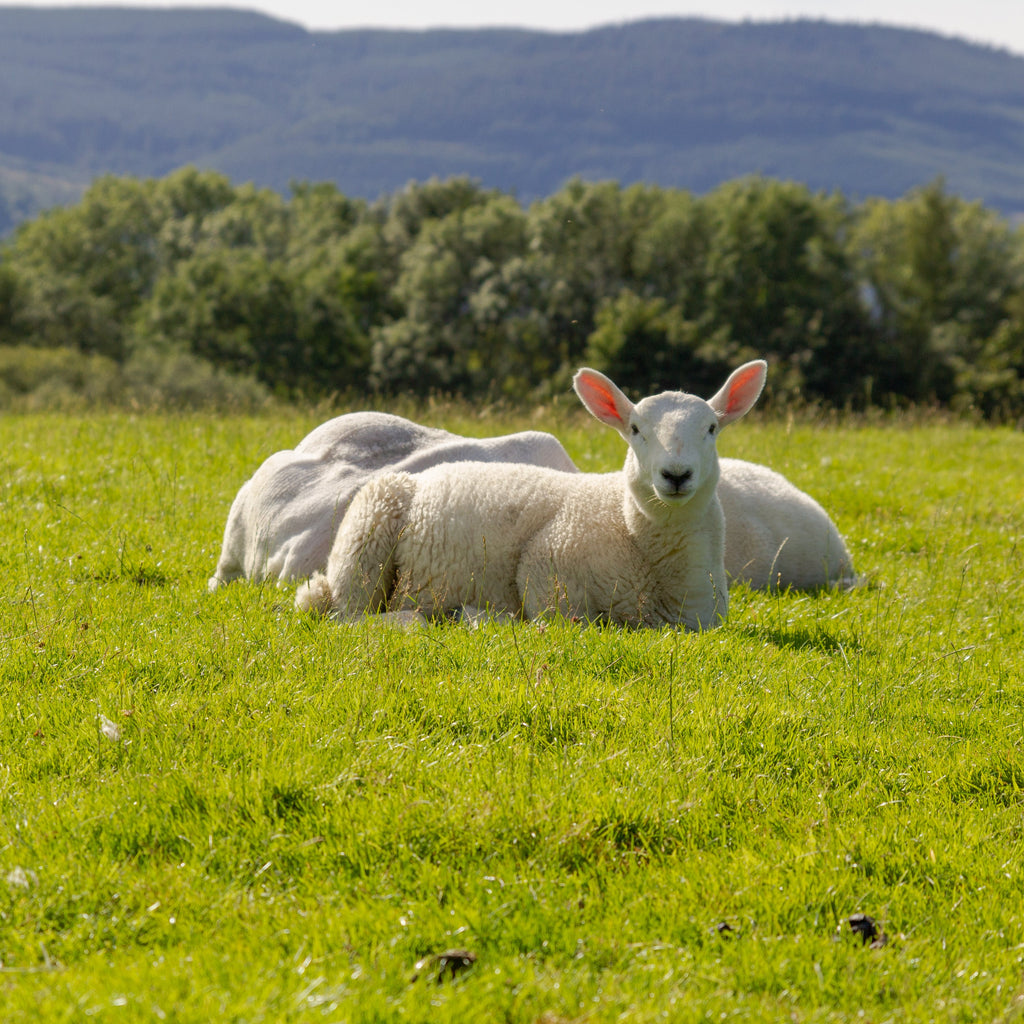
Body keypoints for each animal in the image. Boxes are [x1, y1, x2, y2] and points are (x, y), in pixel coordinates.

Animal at [295, 360, 768, 629]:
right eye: (635, 429)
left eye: (712, 428)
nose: (676, 474)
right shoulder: (547, 571)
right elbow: (569, 623)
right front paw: (488, 618)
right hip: (366, 537)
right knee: (355, 616)